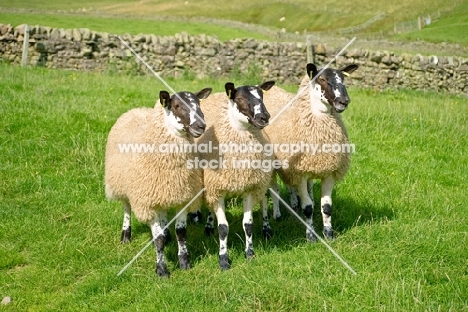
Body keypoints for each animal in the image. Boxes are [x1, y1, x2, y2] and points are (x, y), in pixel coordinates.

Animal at [105, 86, 212, 276]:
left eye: (199, 103)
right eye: (176, 106)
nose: (201, 126)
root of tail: (136, 109)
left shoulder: (181, 197)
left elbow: (181, 233)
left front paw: (184, 262)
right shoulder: (148, 201)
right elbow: (158, 240)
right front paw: (162, 269)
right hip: (121, 183)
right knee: (126, 208)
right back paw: (126, 235)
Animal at [196, 80, 276, 270]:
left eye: (262, 96)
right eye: (240, 99)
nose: (264, 117)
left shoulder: (250, 187)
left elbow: (248, 224)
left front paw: (250, 254)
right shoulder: (217, 189)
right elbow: (223, 228)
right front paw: (224, 259)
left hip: (262, 180)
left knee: (263, 200)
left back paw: (267, 229)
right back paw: (208, 226)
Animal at [264, 62, 358, 241]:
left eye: (342, 79)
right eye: (322, 79)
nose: (344, 101)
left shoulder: (328, 171)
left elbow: (327, 207)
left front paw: (328, 234)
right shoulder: (299, 172)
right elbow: (307, 208)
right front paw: (311, 236)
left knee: (295, 187)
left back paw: (295, 204)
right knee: (274, 189)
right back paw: (277, 214)